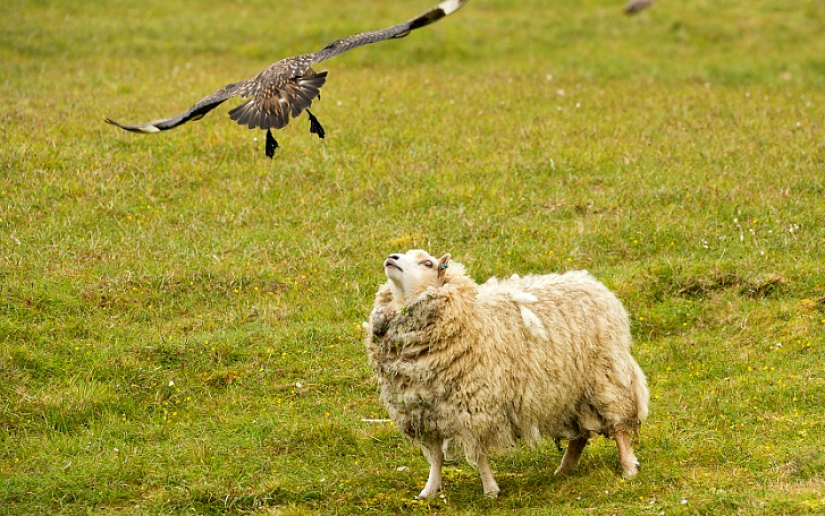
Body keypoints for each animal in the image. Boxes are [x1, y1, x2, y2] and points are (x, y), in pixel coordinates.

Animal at [364, 249, 649, 499]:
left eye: (427, 263)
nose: (392, 258)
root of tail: (593, 283)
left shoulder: (474, 409)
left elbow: (479, 455)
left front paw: (490, 490)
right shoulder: (424, 413)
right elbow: (435, 457)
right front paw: (429, 491)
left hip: (605, 378)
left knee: (619, 427)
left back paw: (628, 468)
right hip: (569, 394)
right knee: (579, 436)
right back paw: (564, 469)